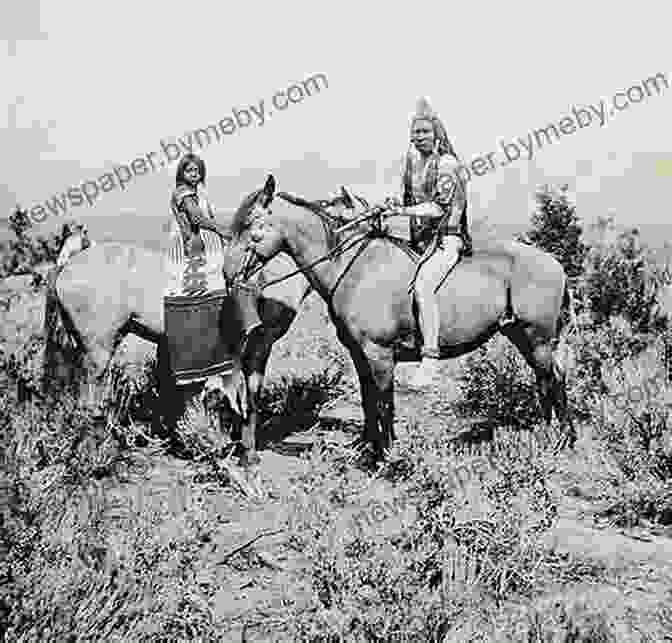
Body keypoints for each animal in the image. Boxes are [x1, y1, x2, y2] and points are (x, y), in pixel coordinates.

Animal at [231, 175, 576, 462]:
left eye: (250, 223)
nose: (229, 272)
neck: (353, 268)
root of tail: (556, 264)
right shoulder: (359, 355)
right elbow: (369, 400)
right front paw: (369, 450)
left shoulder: (380, 355)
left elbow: (385, 402)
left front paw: (386, 457)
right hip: (521, 335)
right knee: (547, 379)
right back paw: (554, 435)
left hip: (537, 337)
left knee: (552, 380)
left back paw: (559, 440)